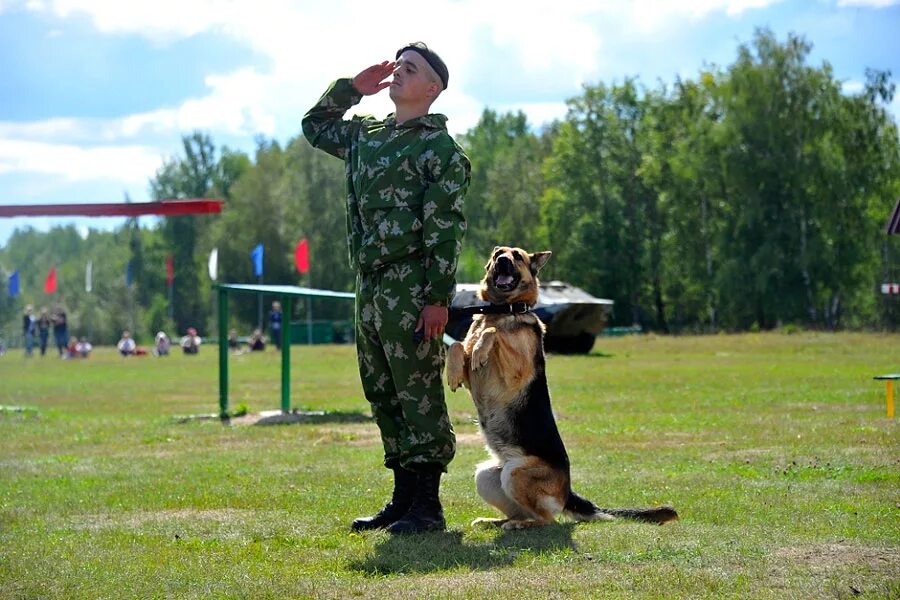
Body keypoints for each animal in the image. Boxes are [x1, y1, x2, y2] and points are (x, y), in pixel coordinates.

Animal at [446, 247, 680, 528]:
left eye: (517, 256)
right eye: (498, 253)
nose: (502, 260)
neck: (503, 310)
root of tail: (567, 493)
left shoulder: (514, 371)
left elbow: (493, 333)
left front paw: (482, 345)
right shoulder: (472, 377)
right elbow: (457, 344)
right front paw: (452, 371)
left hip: (515, 472)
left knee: (547, 520)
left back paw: (521, 524)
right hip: (485, 475)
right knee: (521, 512)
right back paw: (495, 521)